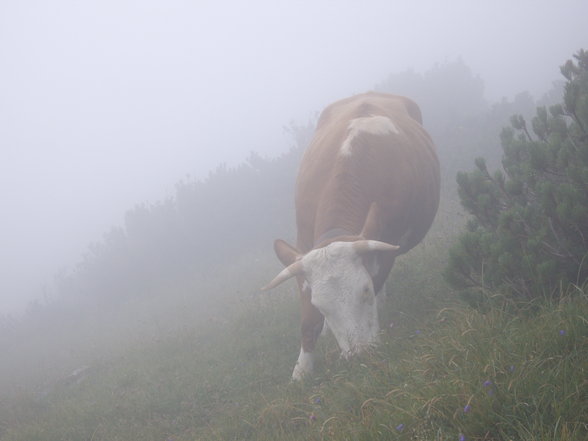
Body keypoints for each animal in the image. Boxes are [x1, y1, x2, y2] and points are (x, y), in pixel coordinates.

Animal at [264, 92, 438, 378]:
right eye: (321, 305)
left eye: (365, 290)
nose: (358, 354)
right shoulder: (302, 249)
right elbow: (307, 320)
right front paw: (302, 370)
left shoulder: (388, 241)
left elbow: (379, 278)